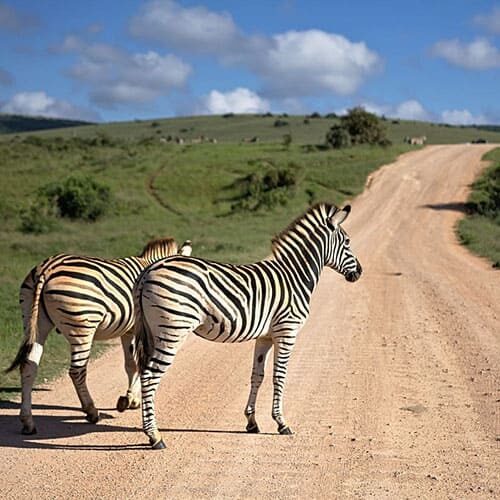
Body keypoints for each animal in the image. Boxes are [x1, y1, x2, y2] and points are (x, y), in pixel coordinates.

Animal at [6, 236, 192, 436]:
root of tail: (47, 268)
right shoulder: (139, 329)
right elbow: (139, 364)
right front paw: (131, 399)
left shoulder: (128, 330)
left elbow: (131, 364)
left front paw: (130, 399)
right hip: (82, 327)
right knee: (77, 371)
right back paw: (91, 411)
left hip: (34, 322)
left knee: (28, 366)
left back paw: (28, 422)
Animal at [135, 203, 362, 450]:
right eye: (347, 242)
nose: (359, 273)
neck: (295, 277)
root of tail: (150, 269)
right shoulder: (287, 331)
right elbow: (279, 376)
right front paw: (281, 423)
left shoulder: (265, 337)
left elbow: (257, 375)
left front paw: (252, 422)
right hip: (172, 330)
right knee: (150, 376)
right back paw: (155, 436)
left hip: (153, 332)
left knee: (144, 372)